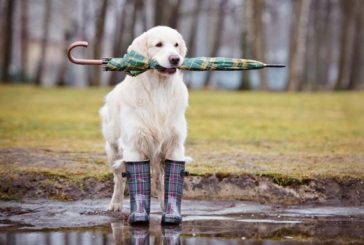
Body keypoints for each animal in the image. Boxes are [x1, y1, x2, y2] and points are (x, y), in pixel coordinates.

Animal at [101, 25, 189, 212]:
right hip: (113, 149)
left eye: (176, 45)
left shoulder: (175, 145)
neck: (159, 89)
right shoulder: (134, 145)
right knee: (119, 179)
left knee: (158, 179)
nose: (175, 59)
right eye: (159, 44)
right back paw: (115, 204)